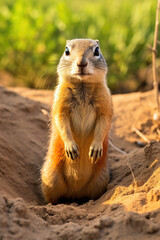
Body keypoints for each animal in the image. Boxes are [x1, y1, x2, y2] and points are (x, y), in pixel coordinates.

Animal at [42, 39, 113, 202]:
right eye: (66, 51)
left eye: (97, 51)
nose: (81, 63)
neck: (82, 85)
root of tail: (74, 193)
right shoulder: (60, 103)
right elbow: (61, 121)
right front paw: (71, 147)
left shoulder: (105, 103)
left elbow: (104, 123)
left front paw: (95, 148)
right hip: (50, 178)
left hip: (100, 180)